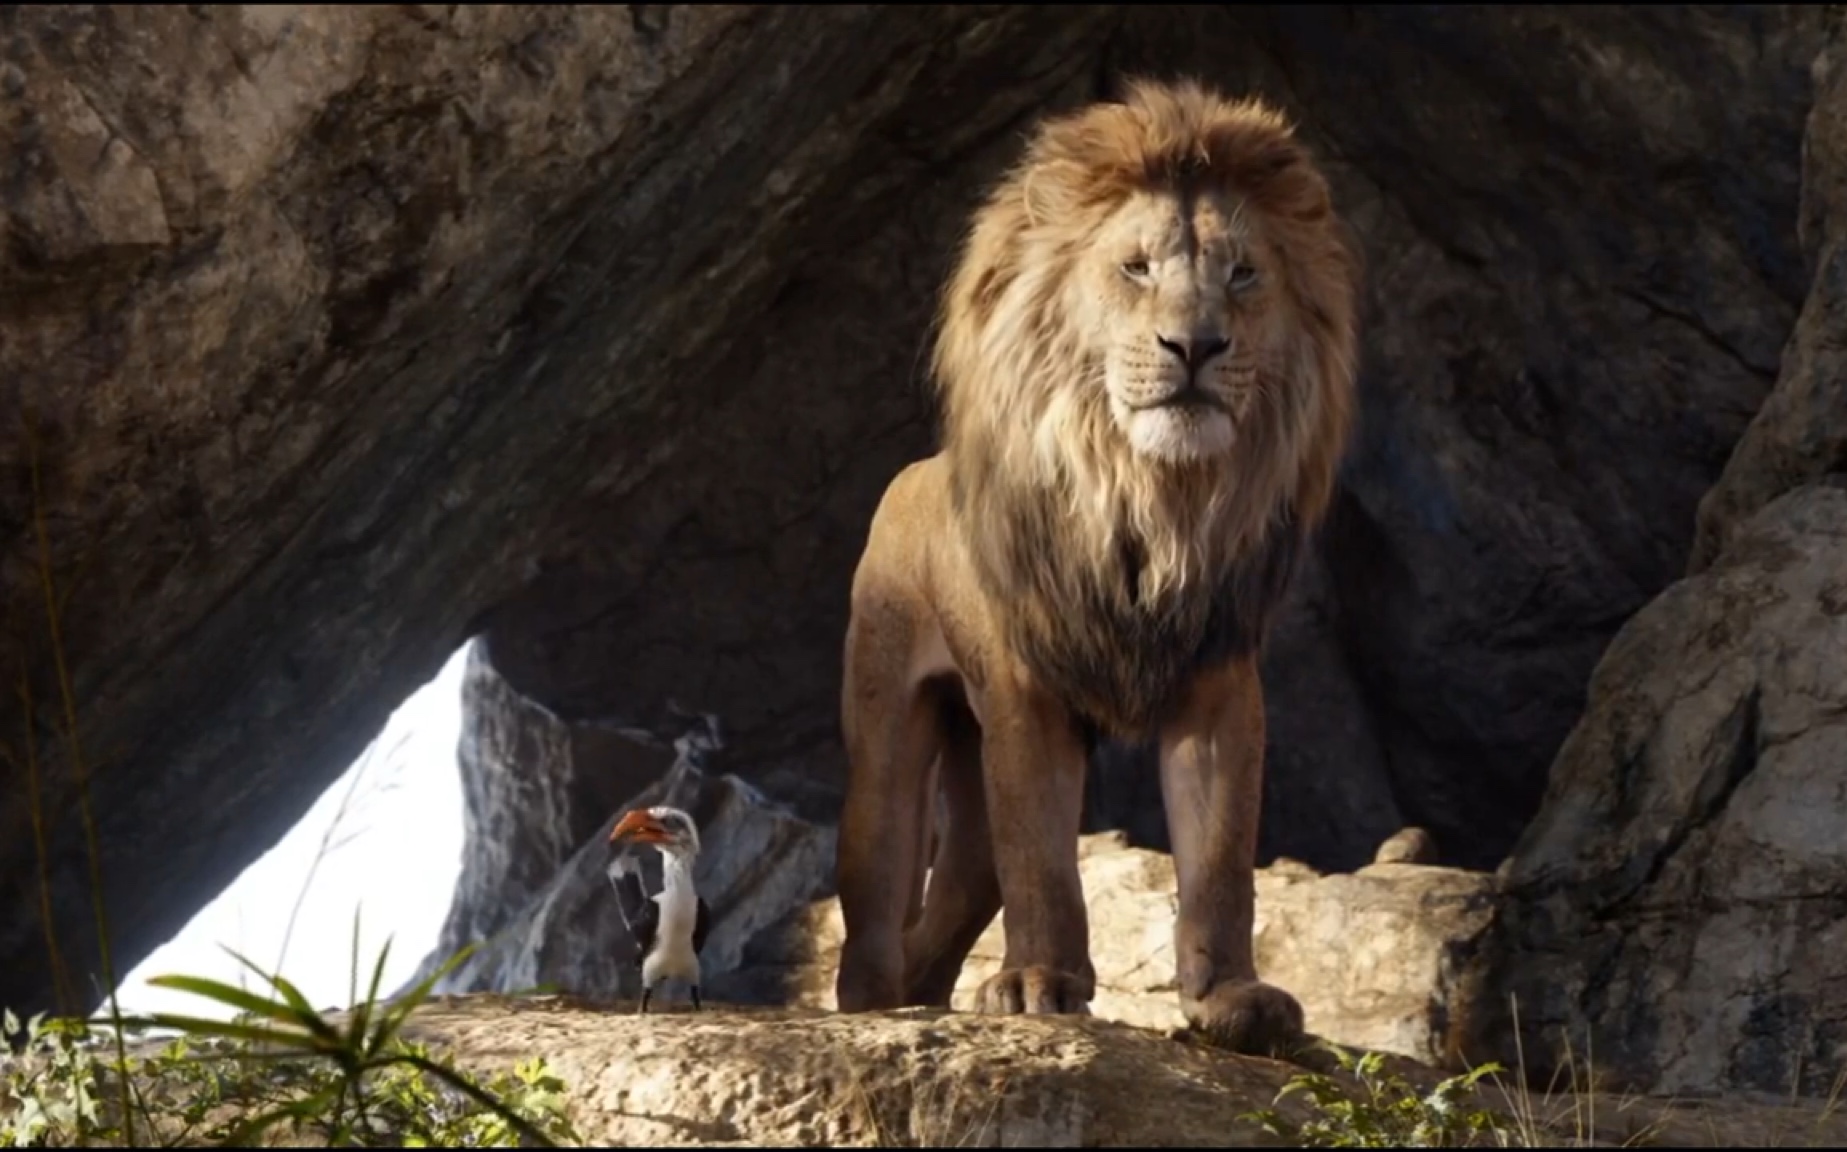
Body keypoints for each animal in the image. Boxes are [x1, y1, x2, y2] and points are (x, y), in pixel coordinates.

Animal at [833, 76, 1360, 1056]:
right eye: (1137, 268)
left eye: (1241, 273)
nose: (1195, 346)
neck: (1153, 499)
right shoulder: (1024, 688)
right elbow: (1041, 855)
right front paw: (1039, 983)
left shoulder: (1217, 682)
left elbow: (1221, 857)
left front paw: (1231, 996)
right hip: (886, 736)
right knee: (881, 893)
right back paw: (875, 1009)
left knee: (960, 890)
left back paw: (929, 998)